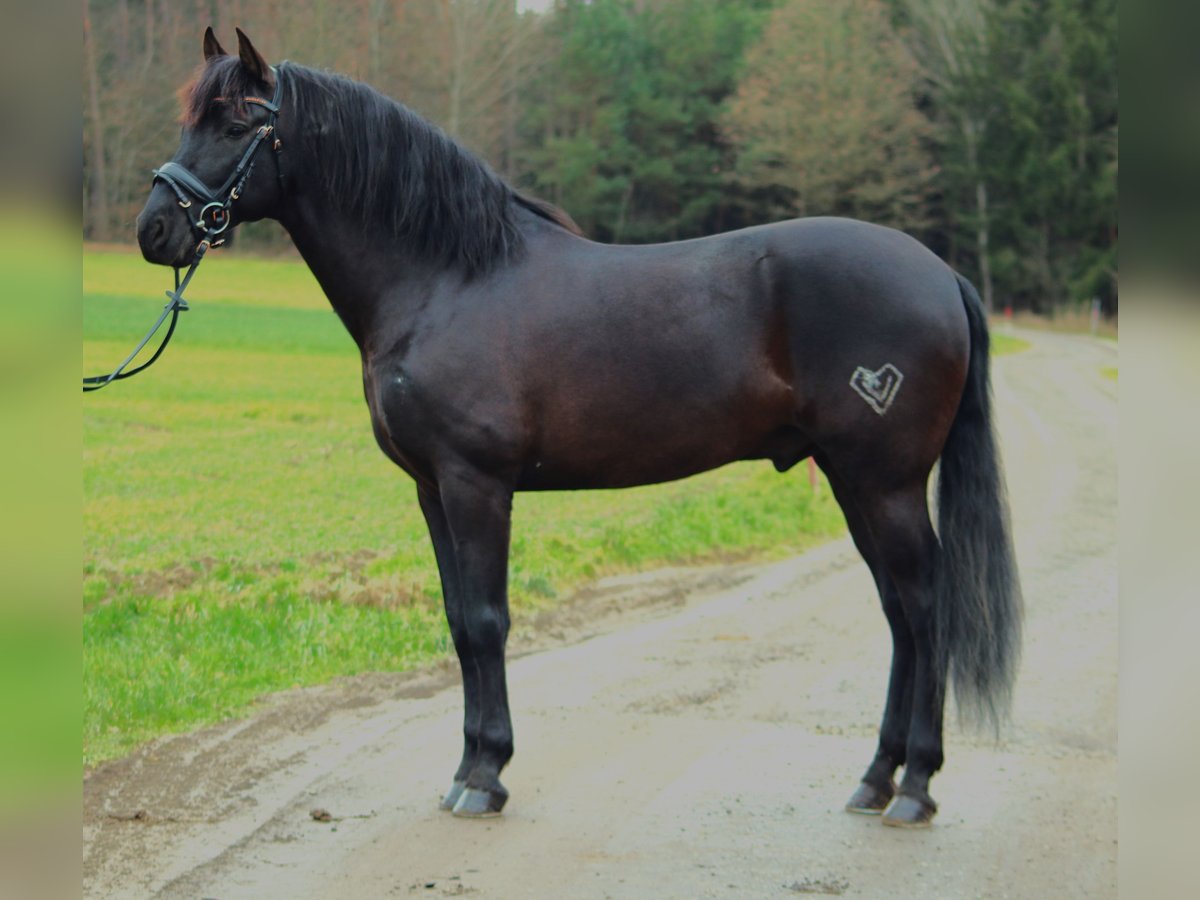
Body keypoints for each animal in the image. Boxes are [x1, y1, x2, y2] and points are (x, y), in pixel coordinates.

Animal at [140, 28, 1022, 830]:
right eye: (191, 118)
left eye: (235, 124)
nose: (154, 230)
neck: (448, 278)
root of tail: (940, 273)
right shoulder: (432, 491)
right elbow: (459, 624)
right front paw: (465, 769)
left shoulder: (477, 486)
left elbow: (488, 621)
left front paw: (486, 777)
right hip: (852, 482)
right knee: (899, 613)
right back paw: (876, 778)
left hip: (886, 483)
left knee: (924, 605)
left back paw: (915, 787)